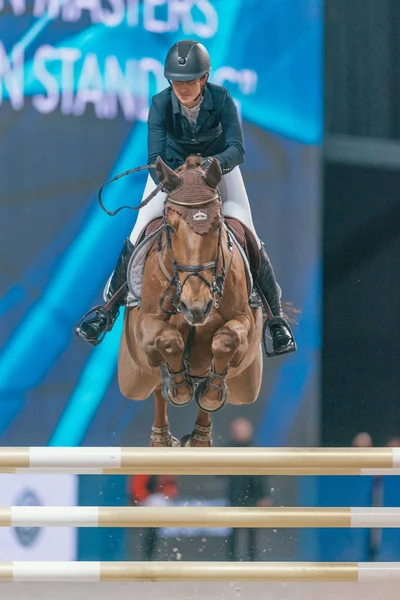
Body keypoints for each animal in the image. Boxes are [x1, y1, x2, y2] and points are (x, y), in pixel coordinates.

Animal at [118, 157, 262, 448]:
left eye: (217, 225)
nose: (196, 307)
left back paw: (200, 437)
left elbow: (226, 341)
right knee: (154, 386)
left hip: (248, 386)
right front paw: (180, 389)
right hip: (132, 379)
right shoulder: (145, 324)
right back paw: (162, 438)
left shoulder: (244, 321)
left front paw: (210, 395)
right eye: (171, 228)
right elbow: (168, 340)